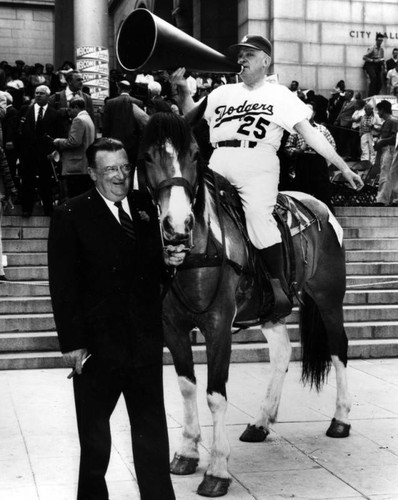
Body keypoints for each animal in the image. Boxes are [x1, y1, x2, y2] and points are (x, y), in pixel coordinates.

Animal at [141, 111, 352, 498]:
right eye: (147, 156)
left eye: (194, 154)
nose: (177, 225)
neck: (198, 250)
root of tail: (318, 205)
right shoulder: (172, 327)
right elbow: (186, 386)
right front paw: (187, 452)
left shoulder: (219, 326)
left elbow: (215, 394)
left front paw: (217, 470)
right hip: (272, 312)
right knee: (282, 353)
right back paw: (261, 421)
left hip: (329, 300)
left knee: (338, 348)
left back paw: (341, 420)